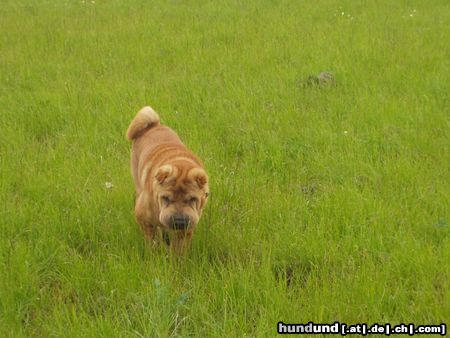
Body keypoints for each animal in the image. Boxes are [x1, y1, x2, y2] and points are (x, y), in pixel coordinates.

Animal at [126, 105, 209, 251]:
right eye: (165, 198)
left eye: (193, 199)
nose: (179, 221)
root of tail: (154, 125)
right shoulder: (143, 217)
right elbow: (152, 240)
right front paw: (155, 252)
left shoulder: (186, 229)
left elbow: (178, 248)